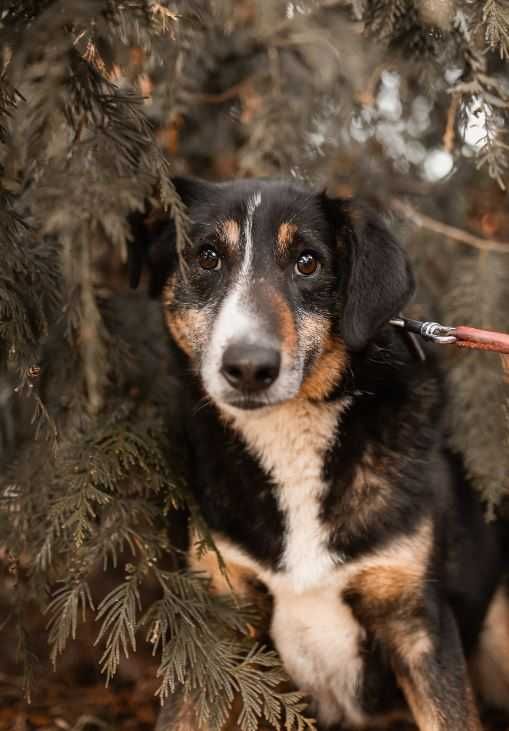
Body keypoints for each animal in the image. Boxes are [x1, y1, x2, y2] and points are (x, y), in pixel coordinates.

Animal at [128, 177, 508, 731]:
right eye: (207, 257)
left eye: (307, 262)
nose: (249, 367)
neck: (290, 438)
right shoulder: (219, 606)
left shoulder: (417, 621)